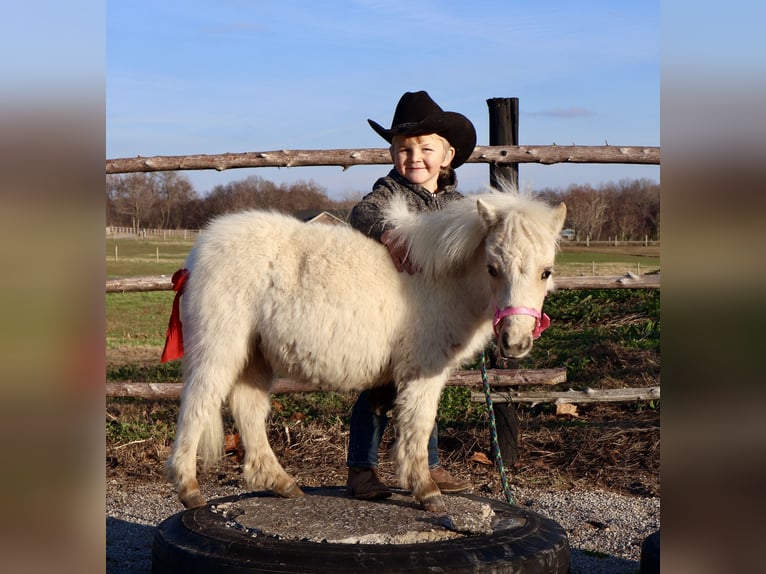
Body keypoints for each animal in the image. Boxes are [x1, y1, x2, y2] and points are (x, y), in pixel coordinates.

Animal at [165, 192, 568, 512]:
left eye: (546, 271)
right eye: (492, 268)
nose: (515, 342)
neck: (441, 281)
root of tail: (199, 253)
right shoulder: (423, 370)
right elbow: (419, 426)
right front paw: (426, 492)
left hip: (255, 355)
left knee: (248, 409)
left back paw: (281, 483)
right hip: (219, 349)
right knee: (198, 404)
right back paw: (190, 489)